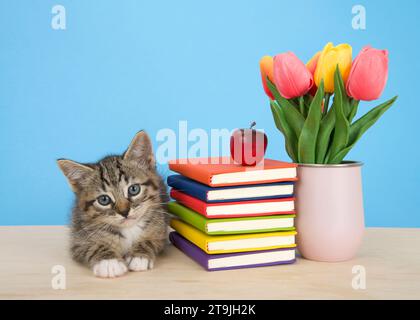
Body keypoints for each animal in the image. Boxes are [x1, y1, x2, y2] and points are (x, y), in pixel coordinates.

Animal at [57, 130, 169, 278]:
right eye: (104, 200)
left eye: (134, 189)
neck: (129, 229)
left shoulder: (161, 231)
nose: (124, 212)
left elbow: (151, 240)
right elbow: (93, 246)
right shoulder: (78, 240)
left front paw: (139, 255)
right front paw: (109, 262)